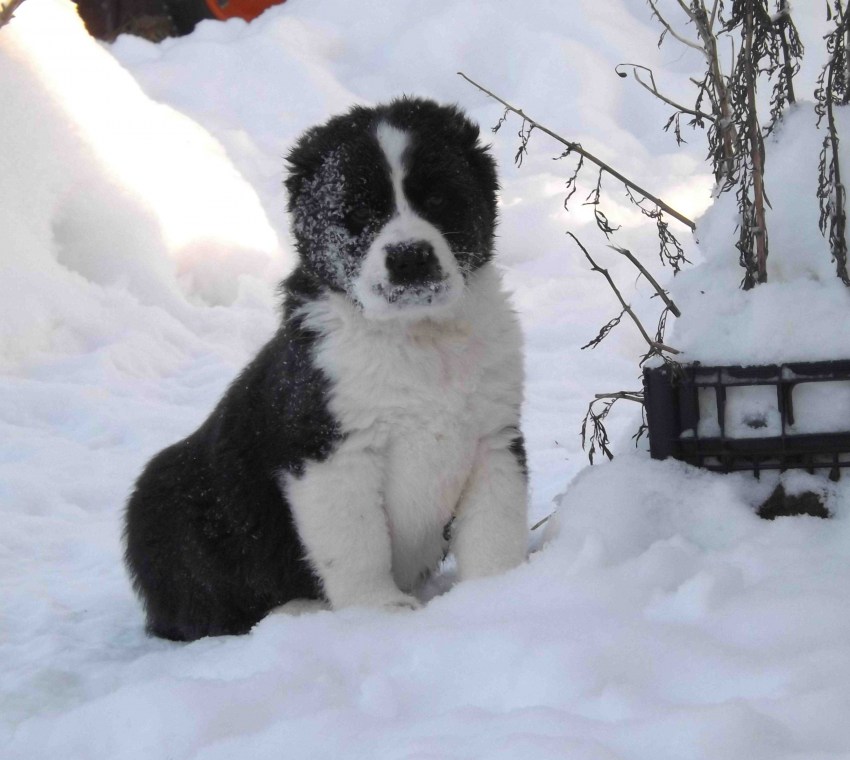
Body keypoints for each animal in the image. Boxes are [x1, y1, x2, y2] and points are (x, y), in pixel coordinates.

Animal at [123, 96, 528, 640]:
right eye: (356, 213)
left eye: (439, 199)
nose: (409, 257)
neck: (417, 339)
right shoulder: (329, 450)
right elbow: (356, 544)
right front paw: (379, 612)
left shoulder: (493, 439)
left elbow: (495, 529)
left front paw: (498, 595)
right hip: (162, 497)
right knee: (200, 613)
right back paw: (294, 612)